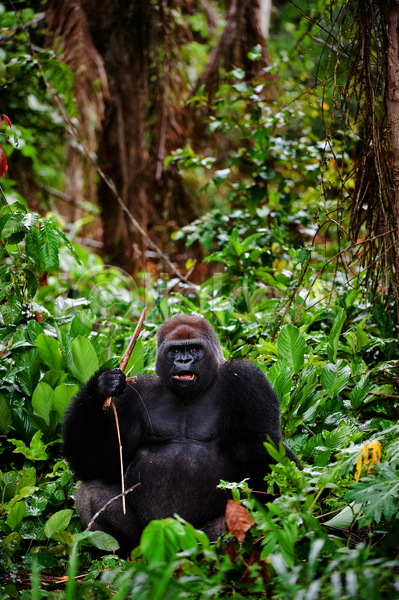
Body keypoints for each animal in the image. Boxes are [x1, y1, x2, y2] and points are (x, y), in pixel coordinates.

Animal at [62, 314, 298, 552]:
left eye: (193, 349)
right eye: (175, 351)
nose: (184, 361)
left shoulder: (247, 379)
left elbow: (263, 453)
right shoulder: (132, 395)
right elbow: (100, 463)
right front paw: (99, 389)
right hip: (146, 537)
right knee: (90, 488)